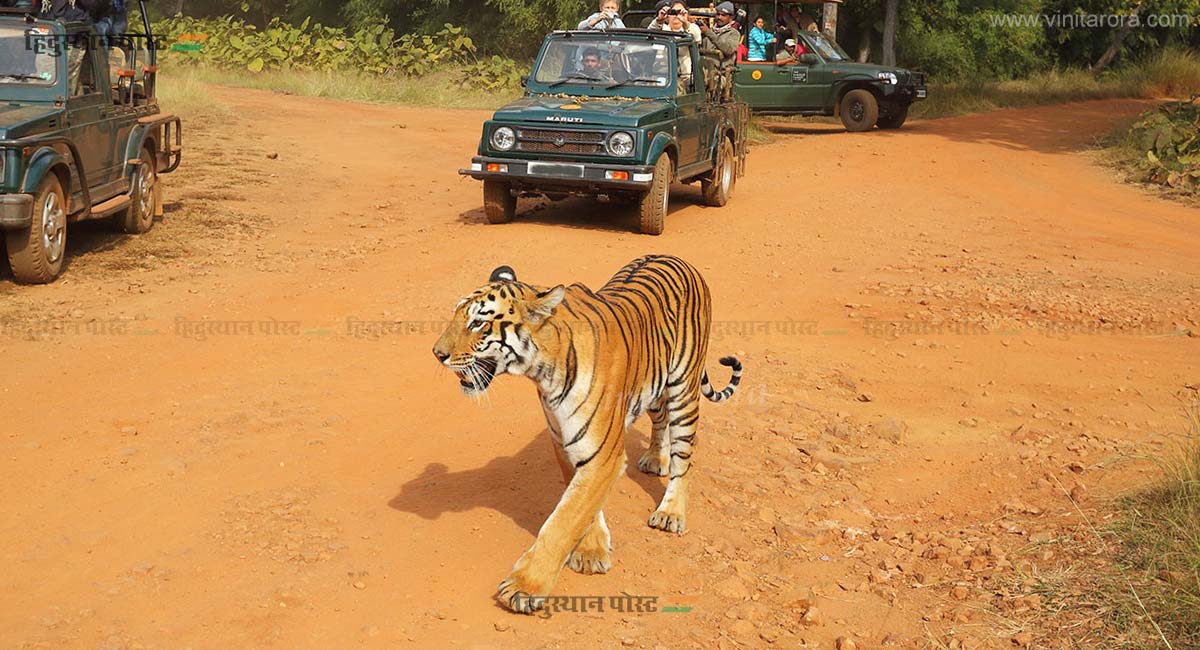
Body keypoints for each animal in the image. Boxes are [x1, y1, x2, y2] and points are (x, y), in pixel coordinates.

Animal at [432, 256, 739, 618]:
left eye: (478, 323)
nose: (437, 353)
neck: (542, 370)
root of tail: (679, 259)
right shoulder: (563, 441)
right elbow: (579, 503)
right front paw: (591, 551)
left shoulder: (603, 452)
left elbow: (563, 520)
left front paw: (524, 587)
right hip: (653, 386)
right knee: (660, 419)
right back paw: (654, 459)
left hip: (684, 389)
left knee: (684, 456)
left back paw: (671, 513)